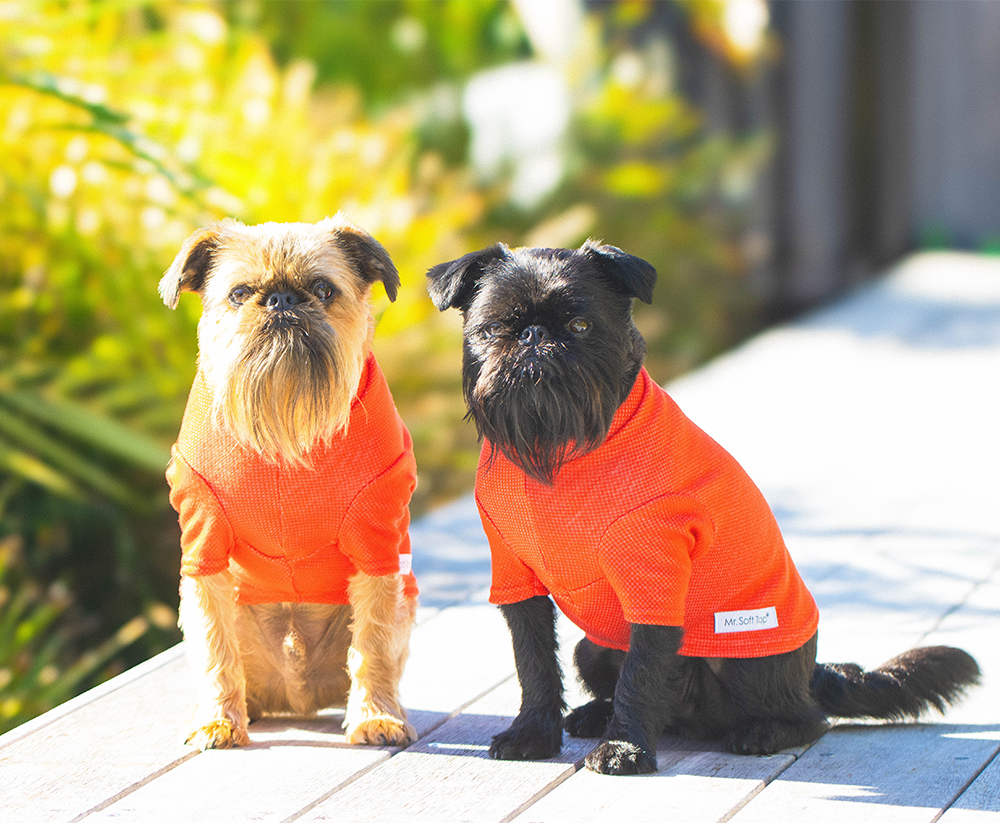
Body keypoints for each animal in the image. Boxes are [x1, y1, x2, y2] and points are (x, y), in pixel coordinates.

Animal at [161, 216, 418, 748]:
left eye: (322, 289)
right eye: (240, 294)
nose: (281, 299)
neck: (287, 430)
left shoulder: (378, 544)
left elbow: (374, 644)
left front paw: (375, 716)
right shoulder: (203, 545)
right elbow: (216, 649)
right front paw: (218, 719)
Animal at [426, 241, 980, 776]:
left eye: (581, 326)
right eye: (493, 329)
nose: (534, 336)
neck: (562, 452)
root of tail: (815, 672)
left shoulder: (654, 583)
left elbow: (641, 676)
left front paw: (625, 749)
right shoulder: (516, 579)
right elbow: (535, 664)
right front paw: (534, 734)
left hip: (746, 660)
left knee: (809, 716)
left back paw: (764, 731)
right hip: (595, 647)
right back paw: (596, 714)